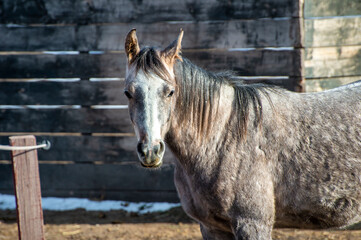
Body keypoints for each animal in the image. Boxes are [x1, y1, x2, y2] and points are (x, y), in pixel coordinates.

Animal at [123, 29, 360, 239]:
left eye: (170, 91)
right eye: (128, 93)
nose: (150, 151)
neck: (221, 139)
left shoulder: (252, 223)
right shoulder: (211, 228)